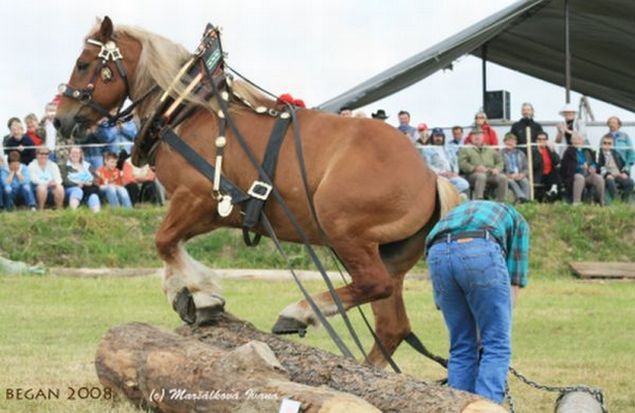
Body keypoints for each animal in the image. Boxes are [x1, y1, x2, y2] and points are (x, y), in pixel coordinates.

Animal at [54, 16, 460, 366]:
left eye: (83, 63)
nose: (61, 119)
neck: (185, 112)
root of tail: (430, 176)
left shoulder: (199, 199)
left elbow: (164, 241)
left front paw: (203, 295)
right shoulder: (212, 210)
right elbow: (169, 247)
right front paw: (183, 293)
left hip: (341, 228)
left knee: (374, 285)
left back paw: (298, 312)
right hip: (386, 253)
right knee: (391, 322)